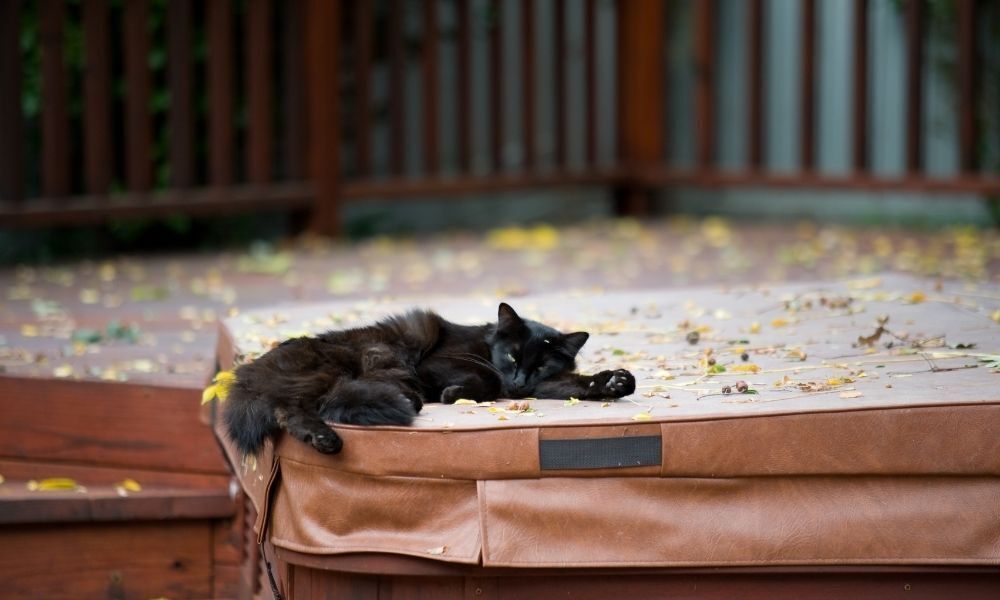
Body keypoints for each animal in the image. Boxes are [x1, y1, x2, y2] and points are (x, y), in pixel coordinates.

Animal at [224, 304, 636, 454]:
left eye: (541, 366)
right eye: (513, 356)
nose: (519, 382)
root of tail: (250, 369)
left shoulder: (544, 386)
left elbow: (575, 384)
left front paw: (615, 383)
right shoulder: (439, 363)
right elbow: (487, 377)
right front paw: (456, 393)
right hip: (337, 367)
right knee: (289, 408)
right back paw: (326, 439)